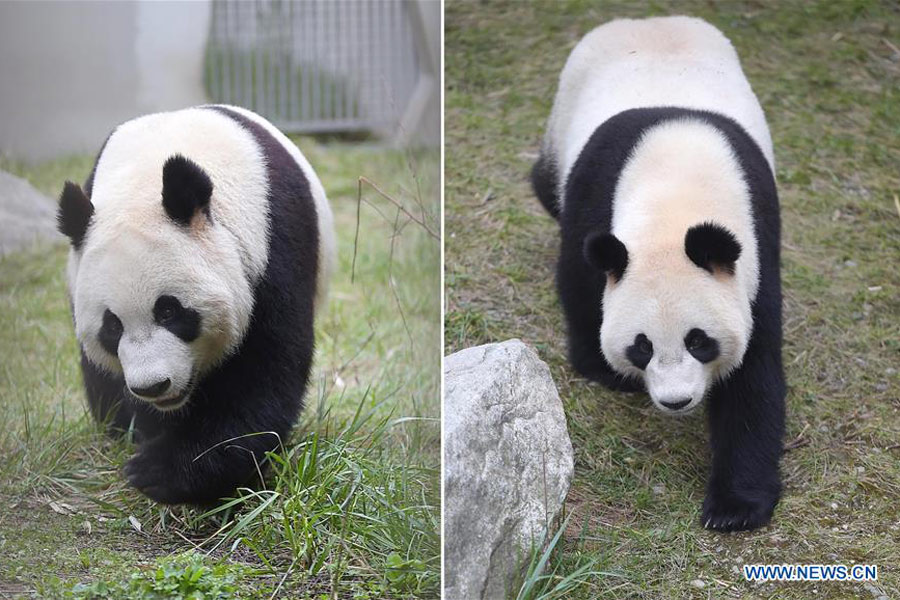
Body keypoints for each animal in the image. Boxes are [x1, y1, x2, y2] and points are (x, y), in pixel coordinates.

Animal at [57, 104, 338, 506]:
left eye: (169, 311)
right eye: (112, 325)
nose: (152, 386)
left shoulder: (272, 246)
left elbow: (262, 373)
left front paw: (163, 471)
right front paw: (150, 440)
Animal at [532, 16, 784, 528]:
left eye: (700, 341)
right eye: (642, 346)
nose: (675, 401)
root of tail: (647, 19)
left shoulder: (757, 247)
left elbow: (755, 372)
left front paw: (734, 507)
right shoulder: (594, 201)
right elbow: (580, 281)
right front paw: (601, 367)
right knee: (546, 188)